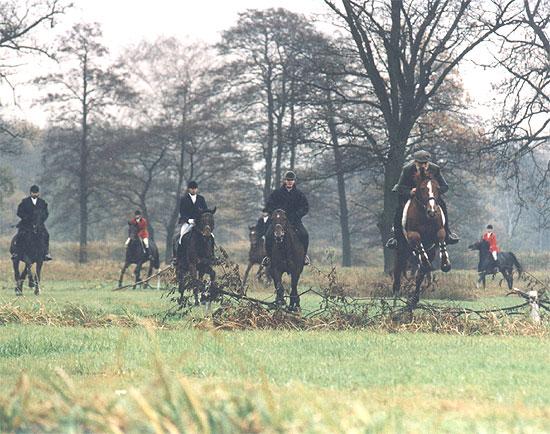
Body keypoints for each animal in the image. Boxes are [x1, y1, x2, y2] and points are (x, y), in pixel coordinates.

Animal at [392, 168, 452, 310]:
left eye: (437, 188)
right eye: (423, 188)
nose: (432, 211)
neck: (425, 216)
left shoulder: (439, 231)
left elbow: (441, 238)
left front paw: (445, 263)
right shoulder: (412, 234)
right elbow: (418, 240)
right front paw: (425, 262)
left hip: (430, 251)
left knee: (420, 275)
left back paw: (414, 300)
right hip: (401, 252)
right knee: (398, 274)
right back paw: (395, 301)